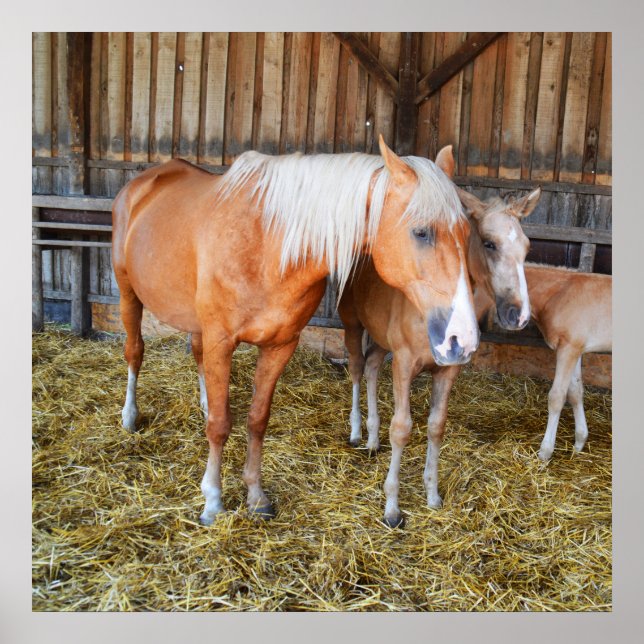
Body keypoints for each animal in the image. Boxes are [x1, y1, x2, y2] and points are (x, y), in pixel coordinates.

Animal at [111, 136, 480, 525]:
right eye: (421, 232)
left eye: (466, 233)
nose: (464, 340)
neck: (266, 247)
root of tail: (142, 183)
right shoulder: (221, 341)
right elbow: (220, 425)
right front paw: (213, 500)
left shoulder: (279, 346)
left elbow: (257, 420)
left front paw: (256, 496)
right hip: (128, 294)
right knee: (135, 352)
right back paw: (130, 417)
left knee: (196, 356)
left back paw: (203, 401)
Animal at [338, 145, 541, 527]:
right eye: (489, 243)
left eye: (527, 247)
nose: (518, 315)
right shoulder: (404, 363)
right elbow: (402, 427)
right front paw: (392, 508)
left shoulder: (448, 369)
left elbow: (436, 426)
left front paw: (432, 495)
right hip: (353, 325)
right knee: (357, 369)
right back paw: (357, 432)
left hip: (381, 340)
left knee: (370, 368)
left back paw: (372, 438)